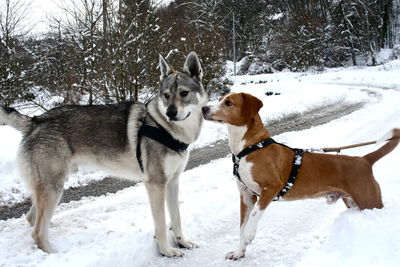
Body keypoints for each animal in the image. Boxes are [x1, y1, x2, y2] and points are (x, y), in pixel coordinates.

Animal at [1, 51, 209, 256]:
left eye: (184, 93)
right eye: (166, 96)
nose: (170, 113)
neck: (167, 129)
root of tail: (36, 120)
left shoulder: (173, 181)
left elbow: (176, 217)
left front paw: (182, 242)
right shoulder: (155, 184)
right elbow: (161, 225)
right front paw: (166, 250)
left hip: (52, 187)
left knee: (31, 218)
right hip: (53, 188)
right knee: (36, 232)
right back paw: (53, 254)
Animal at [203, 93, 400, 260]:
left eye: (228, 102)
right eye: (220, 99)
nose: (204, 108)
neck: (248, 148)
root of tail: (364, 160)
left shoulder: (270, 188)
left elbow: (253, 218)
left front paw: (250, 234)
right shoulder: (246, 196)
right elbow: (241, 228)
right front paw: (239, 252)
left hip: (370, 201)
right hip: (354, 202)